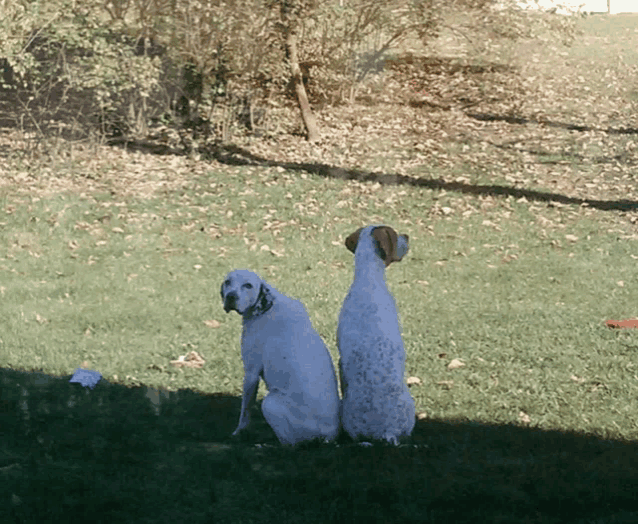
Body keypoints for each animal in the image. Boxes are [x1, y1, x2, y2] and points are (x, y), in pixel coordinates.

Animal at [221, 270, 342, 446]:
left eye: (248, 285)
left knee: (290, 445)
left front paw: (238, 432)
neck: (268, 307)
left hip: (269, 403)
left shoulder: (251, 374)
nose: (230, 296)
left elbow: (245, 413)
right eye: (227, 282)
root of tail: (330, 437)